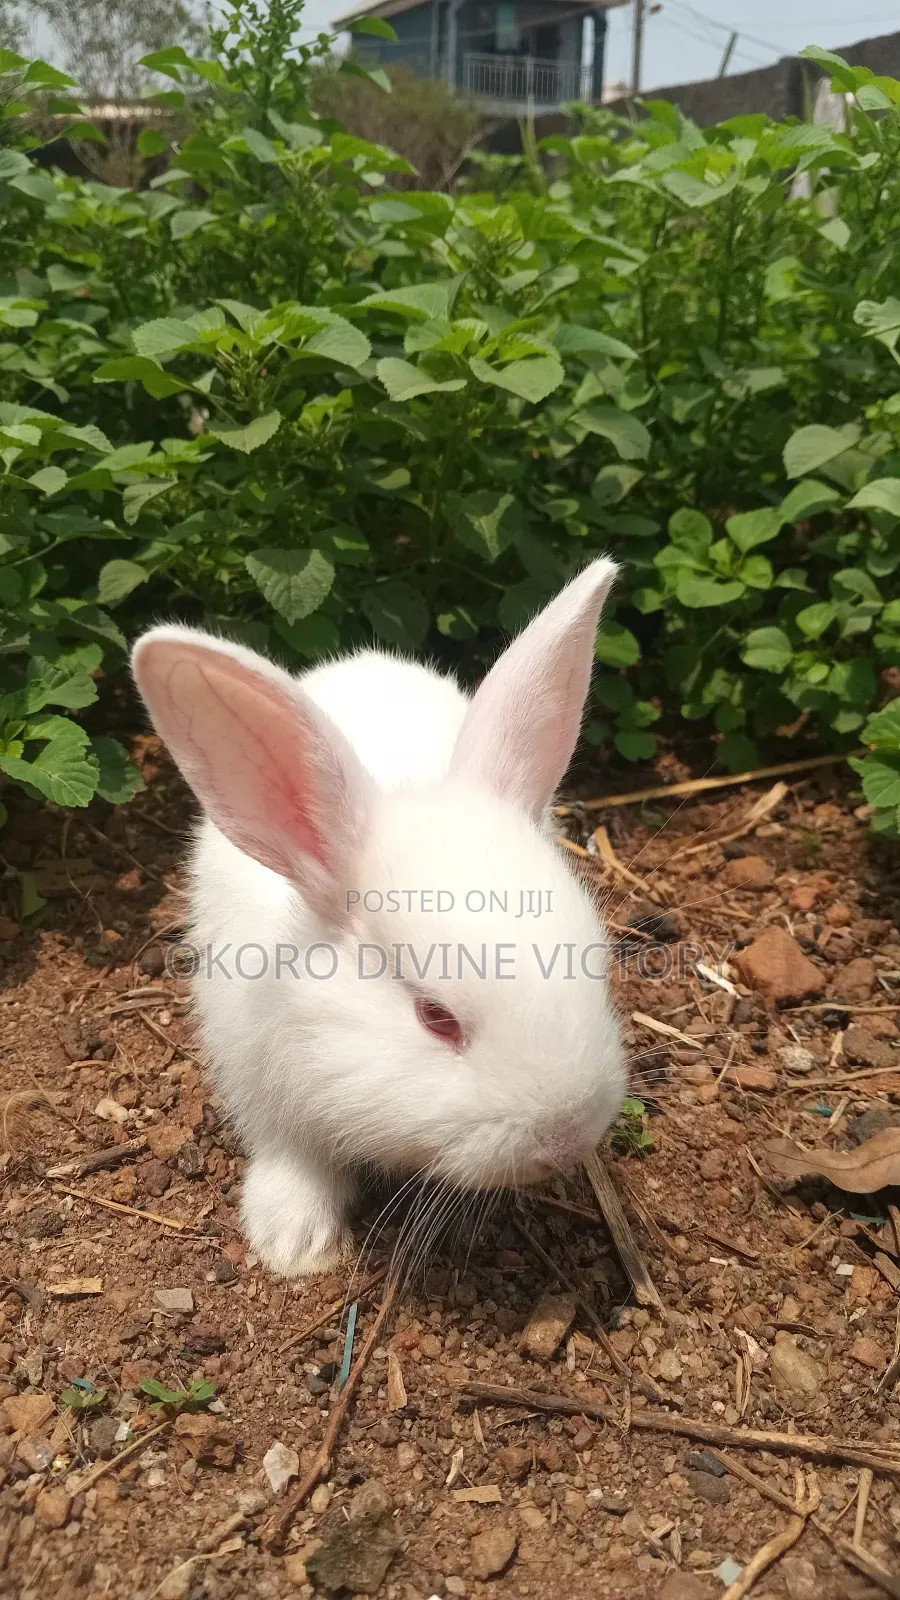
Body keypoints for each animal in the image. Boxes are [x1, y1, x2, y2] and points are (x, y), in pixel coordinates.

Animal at [130, 556, 626, 1278]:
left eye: (596, 966)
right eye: (435, 1017)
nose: (568, 1136)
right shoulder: (259, 1080)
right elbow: (292, 1160)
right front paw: (294, 1246)